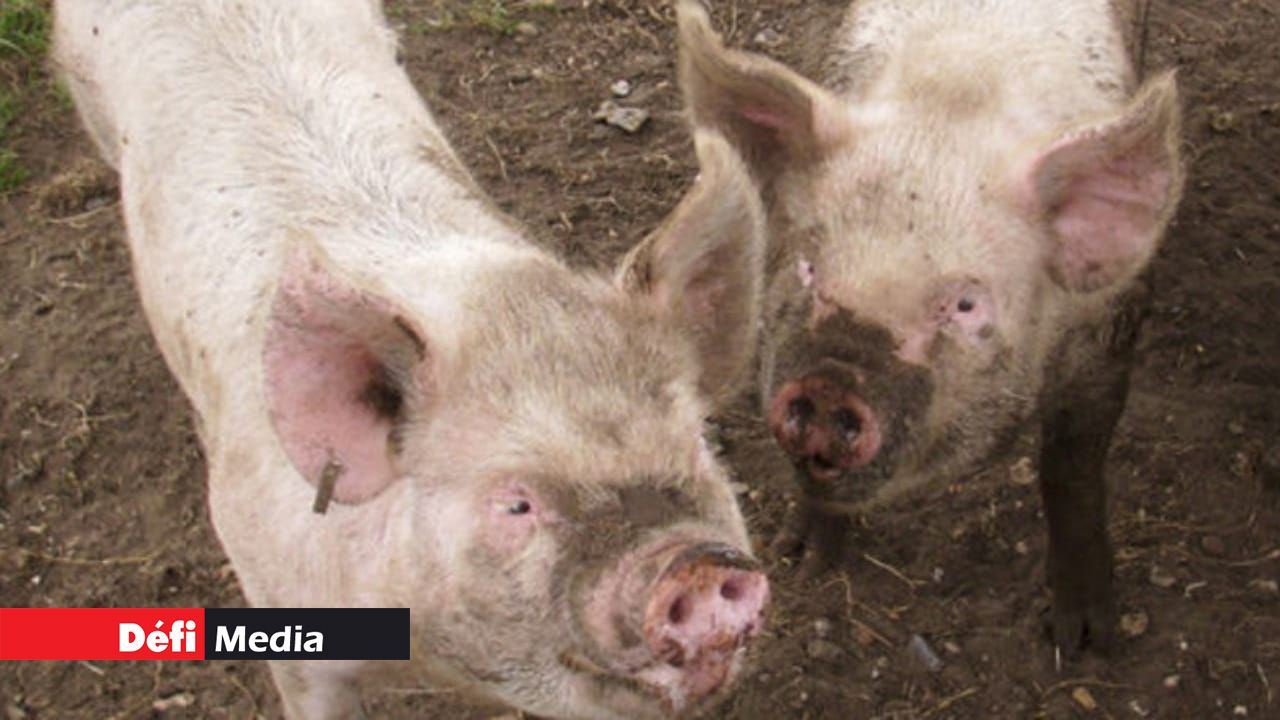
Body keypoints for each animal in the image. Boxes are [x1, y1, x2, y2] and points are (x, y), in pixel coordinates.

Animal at [674, 0, 1184, 656]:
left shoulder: (1108, 333)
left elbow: (1070, 469)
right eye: (809, 266)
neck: (955, 96)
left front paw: (1083, 640)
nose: (830, 384)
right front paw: (801, 559)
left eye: (965, 305)